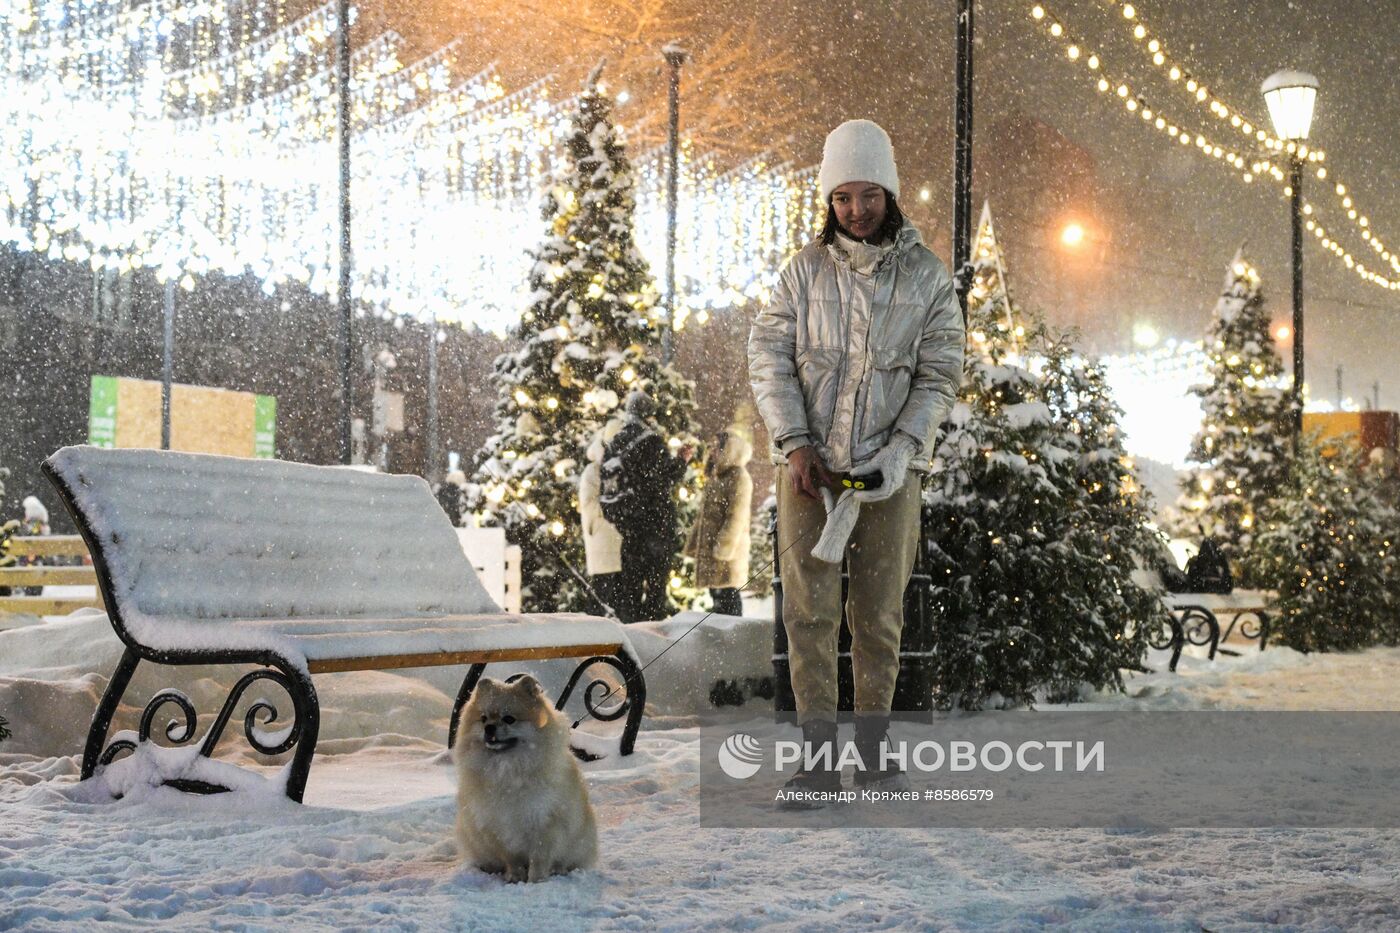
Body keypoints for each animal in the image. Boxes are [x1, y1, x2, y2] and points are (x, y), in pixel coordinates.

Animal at [453, 675, 596, 879]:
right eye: (483, 719)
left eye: (509, 719)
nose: (489, 727)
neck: (507, 768)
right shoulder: (498, 826)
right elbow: (511, 858)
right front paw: (516, 878)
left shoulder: (543, 821)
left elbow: (539, 858)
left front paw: (536, 880)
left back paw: (559, 870)